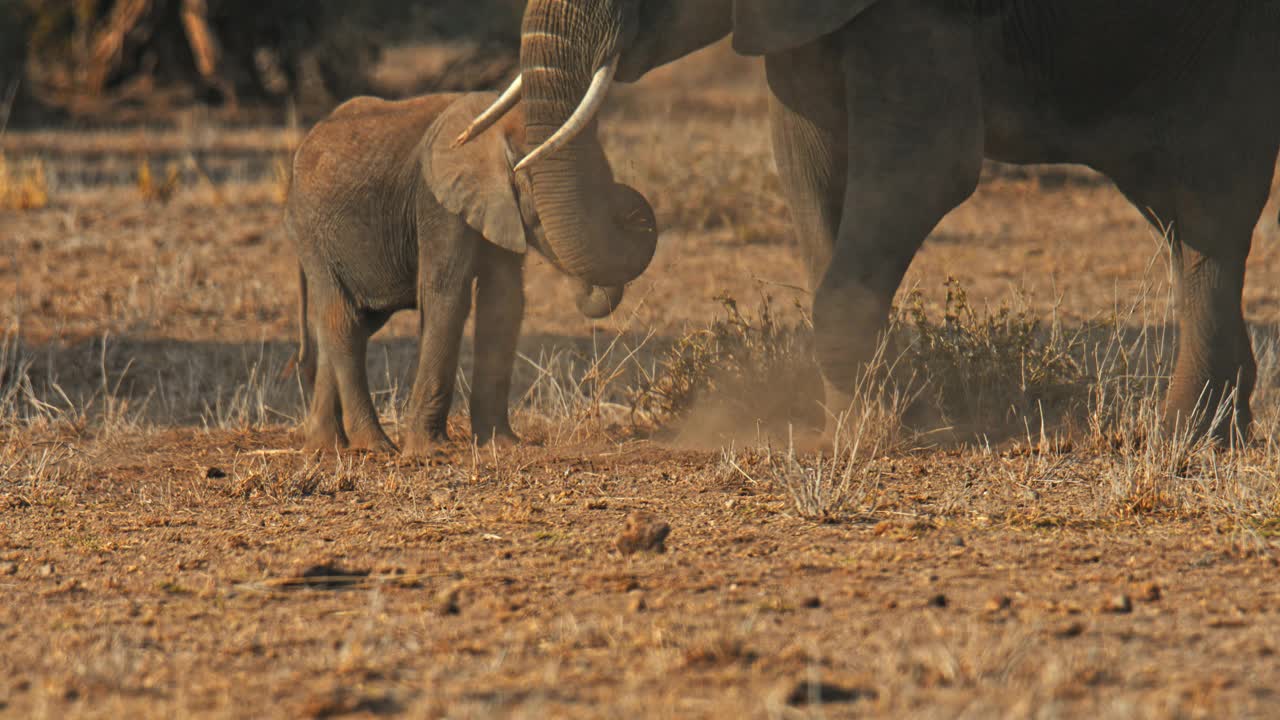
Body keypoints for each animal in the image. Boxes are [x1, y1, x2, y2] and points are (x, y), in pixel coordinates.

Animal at [285, 92, 655, 450]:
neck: (497, 130)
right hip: (313, 234)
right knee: (343, 321)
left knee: (356, 324)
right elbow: (448, 295)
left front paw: (503, 445)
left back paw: (325, 448)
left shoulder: (496, 207)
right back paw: (374, 446)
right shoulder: (438, 203)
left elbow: (504, 301)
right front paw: (431, 452)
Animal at [460, 0, 1280, 440]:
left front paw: (867, 429)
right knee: (1179, 218)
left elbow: (925, 166)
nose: (594, 295)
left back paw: (1182, 437)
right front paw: (859, 418)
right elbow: (807, 159)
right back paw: (1223, 427)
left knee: (1211, 202)